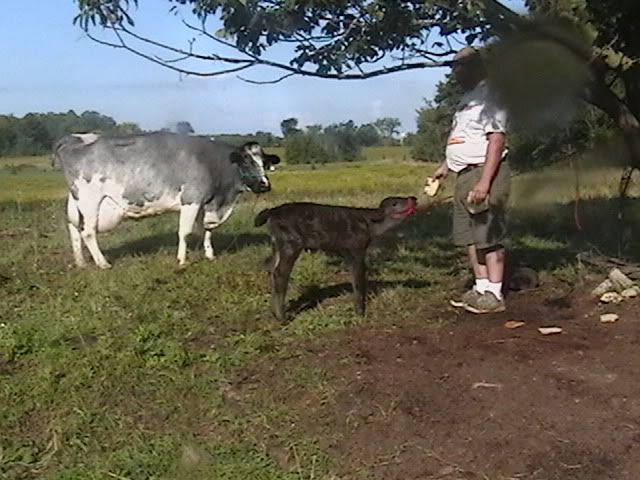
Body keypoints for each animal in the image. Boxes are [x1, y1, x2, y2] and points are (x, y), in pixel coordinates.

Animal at [53, 131, 280, 269]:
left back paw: (81, 262)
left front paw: (209, 255)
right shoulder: (191, 199)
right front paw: (182, 260)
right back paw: (103, 263)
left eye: (264, 162)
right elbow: (185, 232)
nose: (264, 185)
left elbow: (207, 230)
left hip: (76, 201)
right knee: (88, 232)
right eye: (246, 160)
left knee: (73, 227)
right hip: (90, 200)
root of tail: (75, 138)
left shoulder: (206, 203)